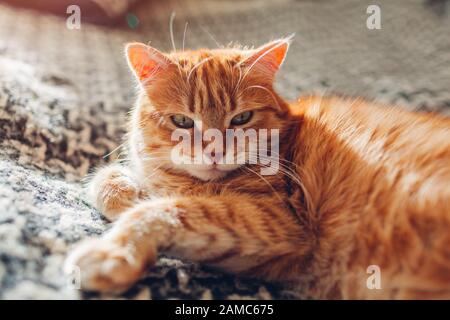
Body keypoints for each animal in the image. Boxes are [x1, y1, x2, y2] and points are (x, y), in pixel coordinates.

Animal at [63, 38, 450, 300]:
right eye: (182, 121)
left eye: (242, 118)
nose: (214, 149)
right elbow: (110, 181)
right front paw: (129, 192)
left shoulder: (279, 220)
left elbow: (161, 211)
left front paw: (113, 253)